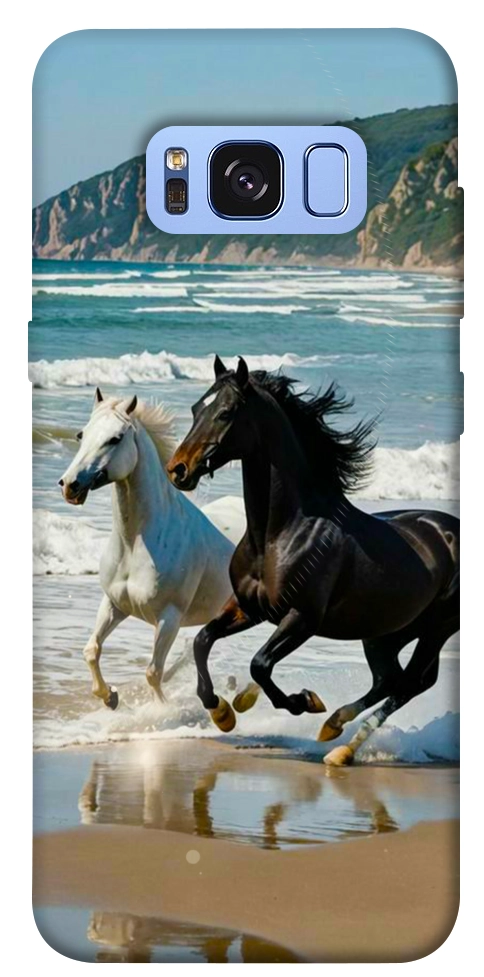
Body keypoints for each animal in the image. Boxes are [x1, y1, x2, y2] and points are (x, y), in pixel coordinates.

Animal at [59, 387, 234, 709]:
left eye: (115, 438)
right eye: (81, 434)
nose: (69, 485)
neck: (135, 544)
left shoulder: (169, 617)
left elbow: (153, 672)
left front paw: (161, 711)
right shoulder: (114, 604)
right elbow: (91, 650)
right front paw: (110, 697)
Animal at [166, 356, 459, 765]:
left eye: (225, 413)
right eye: (196, 409)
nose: (178, 469)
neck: (280, 534)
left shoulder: (302, 618)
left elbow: (260, 664)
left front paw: (303, 701)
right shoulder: (248, 608)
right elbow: (202, 640)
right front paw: (223, 711)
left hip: (436, 628)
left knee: (411, 683)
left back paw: (341, 746)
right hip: (386, 632)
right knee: (390, 679)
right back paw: (334, 729)